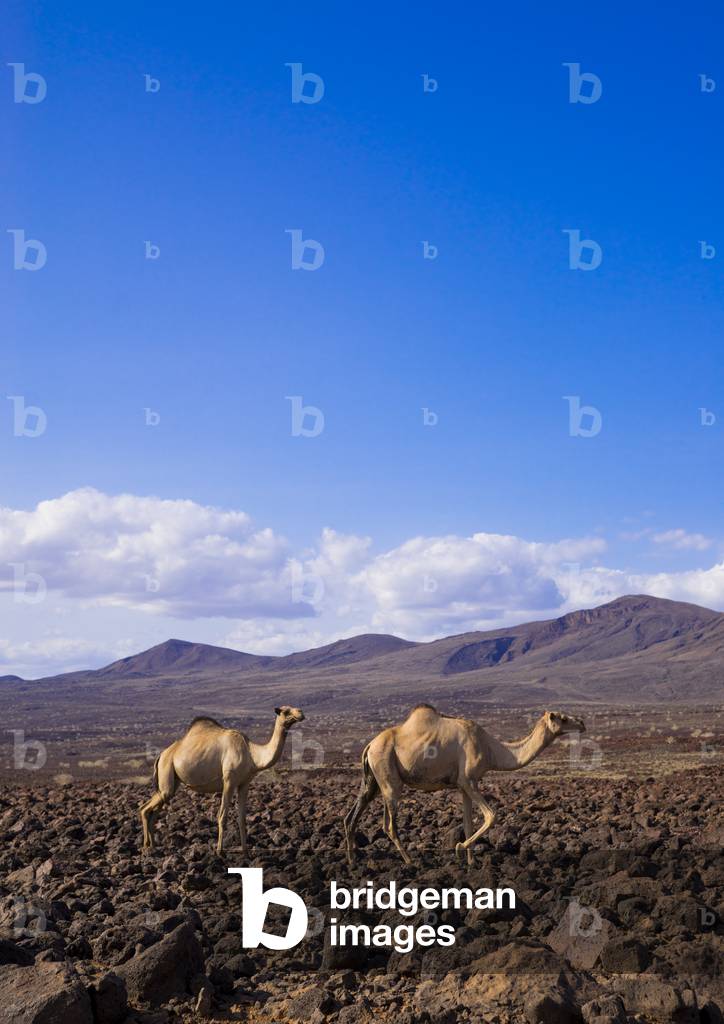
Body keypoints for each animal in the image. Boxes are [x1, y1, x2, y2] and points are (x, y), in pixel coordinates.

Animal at [140, 706, 304, 854]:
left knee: (155, 809)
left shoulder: (244, 783)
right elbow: (222, 817)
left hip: (171, 782)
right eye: (285, 711)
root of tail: (161, 755)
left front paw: (246, 851)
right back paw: (146, 846)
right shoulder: (229, 781)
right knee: (145, 808)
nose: (300, 713)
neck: (252, 754)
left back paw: (153, 845)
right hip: (166, 771)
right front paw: (220, 851)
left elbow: (242, 818)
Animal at [344, 705, 585, 866]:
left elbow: (468, 823)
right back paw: (410, 861)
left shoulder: (463, 787)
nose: (582, 723)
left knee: (355, 814)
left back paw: (352, 859)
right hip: (389, 777)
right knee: (390, 824)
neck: (491, 749)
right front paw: (460, 849)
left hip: (374, 779)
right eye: (563, 718)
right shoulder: (468, 781)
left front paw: (470, 862)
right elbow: (491, 816)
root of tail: (369, 745)